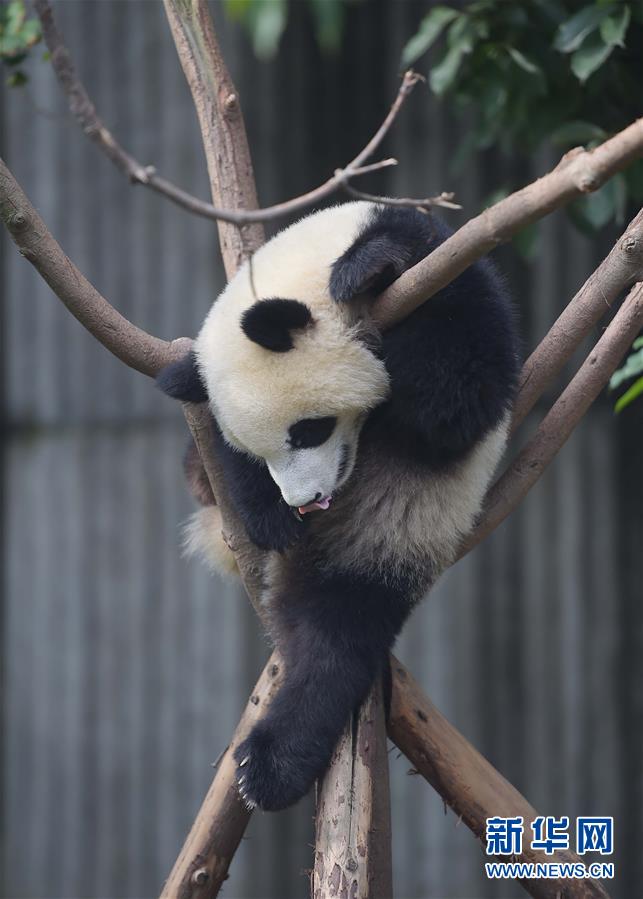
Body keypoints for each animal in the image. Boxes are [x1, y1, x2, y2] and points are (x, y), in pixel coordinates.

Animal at [157, 201, 520, 811]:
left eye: (308, 431)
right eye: (257, 450)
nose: (305, 503)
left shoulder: (453, 271)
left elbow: (460, 396)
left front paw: (371, 269)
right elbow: (218, 447)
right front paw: (269, 514)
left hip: (382, 545)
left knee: (334, 646)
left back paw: (269, 767)